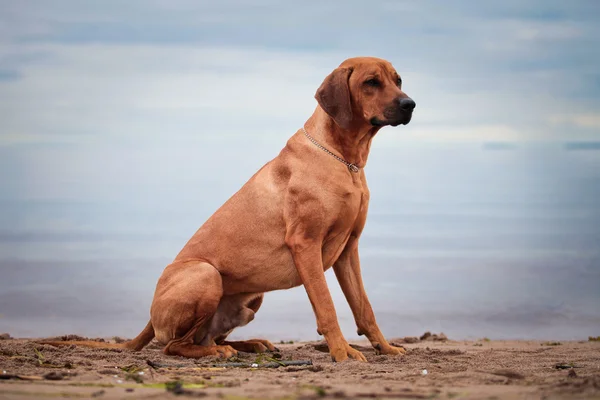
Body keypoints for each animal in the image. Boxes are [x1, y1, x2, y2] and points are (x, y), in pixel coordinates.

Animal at [43, 57, 418, 362]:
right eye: (371, 82)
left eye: (397, 80)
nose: (410, 103)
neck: (344, 159)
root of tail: (150, 318)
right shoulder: (306, 245)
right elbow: (326, 308)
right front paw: (342, 352)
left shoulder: (348, 249)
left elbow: (364, 307)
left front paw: (386, 347)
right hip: (205, 274)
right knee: (174, 346)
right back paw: (217, 353)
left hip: (252, 299)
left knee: (205, 337)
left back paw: (249, 345)